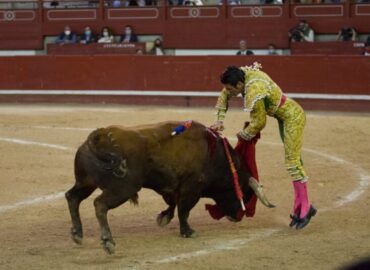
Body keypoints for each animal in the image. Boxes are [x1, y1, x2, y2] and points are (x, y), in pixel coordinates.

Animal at [65, 121, 274, 254]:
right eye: (245, 195)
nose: (238, 217)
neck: (215, 156)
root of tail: (98, 137)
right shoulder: (191, 188)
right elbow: (184, 210)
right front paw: (187, 231)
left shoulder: (171, 187)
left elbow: (173, 204)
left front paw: (164, 218)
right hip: (123, 189)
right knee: (99, 204)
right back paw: (108, 241)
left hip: (86, 183)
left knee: (72, 197)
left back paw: (77, 234)